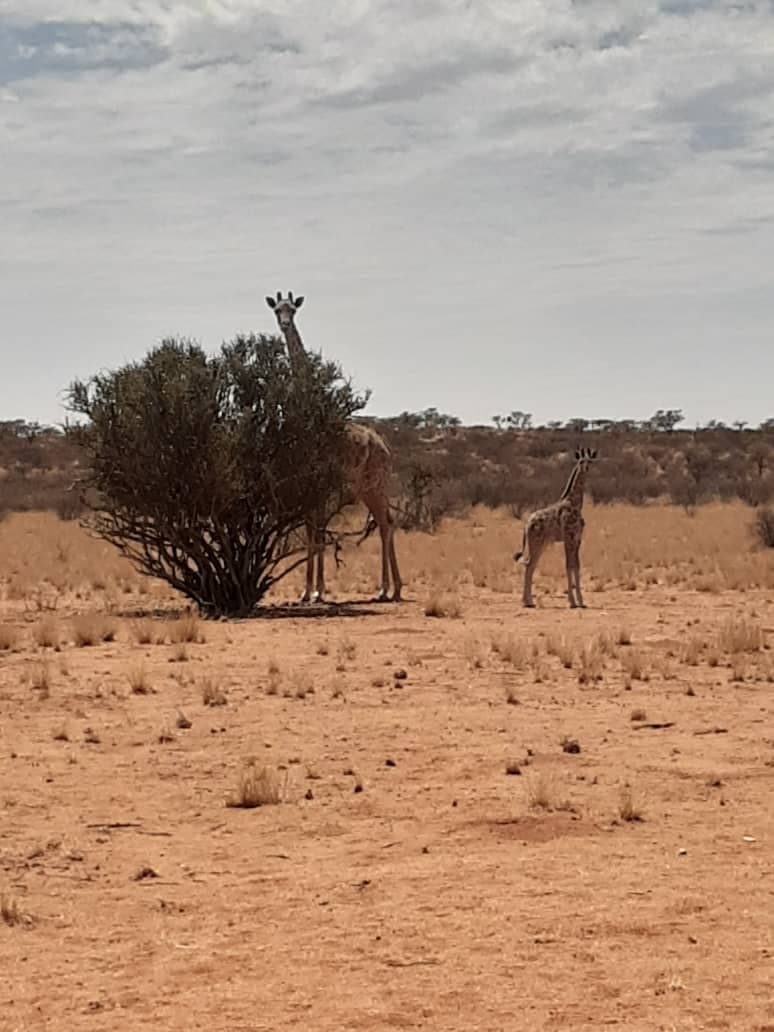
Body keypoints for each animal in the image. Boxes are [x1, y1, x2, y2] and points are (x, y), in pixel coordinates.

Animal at [265, 291, 402, 604]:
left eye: (293, 309)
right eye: (277, 310)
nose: (284, 324)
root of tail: (385, 448)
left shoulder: (319, 485)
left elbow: (316, 534)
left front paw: (316, 590)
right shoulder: (307, 485)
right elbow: (311, 531)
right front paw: (308, 591)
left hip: (376, 485)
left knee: (386, 525)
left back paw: (386, 589)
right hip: (365, 489)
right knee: (386, 523)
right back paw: (394, 588)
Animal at [513, 447, 597, 609]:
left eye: (590, 461)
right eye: (581, 461)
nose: (586, 468)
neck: (575, 504)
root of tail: (527, 525)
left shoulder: (577, 539)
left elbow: (576, 566)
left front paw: (581, 602)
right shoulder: (568, 538)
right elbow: (568, 565)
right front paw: (572, 602)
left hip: (542, 544)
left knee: (530, 566)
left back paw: (528, 601)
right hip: (536, 543)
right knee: (529, 565)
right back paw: (528, 602)